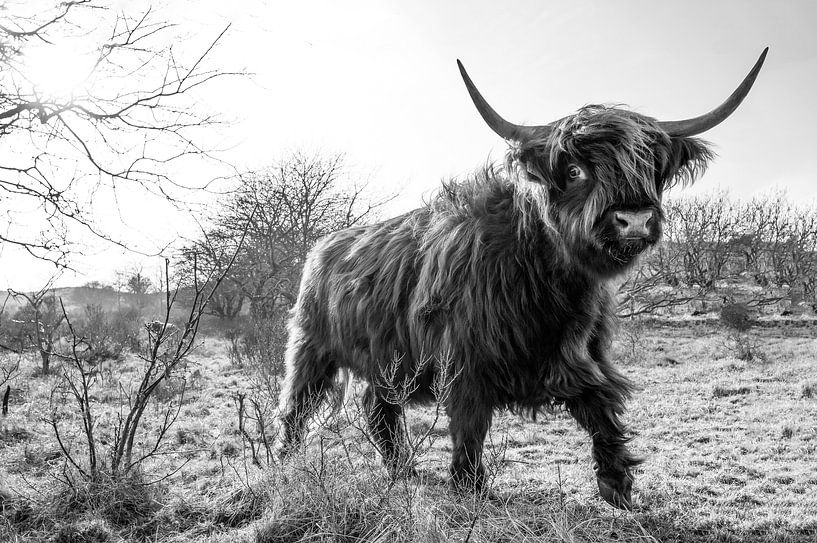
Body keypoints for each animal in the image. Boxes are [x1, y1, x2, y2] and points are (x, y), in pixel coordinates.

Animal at [278, 50, 764, 510]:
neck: (547, 280)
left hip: (386, 361)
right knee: (298, 405)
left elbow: (601, 404)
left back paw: (403, 470)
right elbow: (470, 426)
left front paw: (617, 486)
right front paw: (469, 488)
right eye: (575, 170)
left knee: (378, 409)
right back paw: (284, 462)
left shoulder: (581, 353)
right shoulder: (465, 363)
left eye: (650, 168)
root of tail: (321, 247)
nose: (635, 220)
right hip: (311, 348)